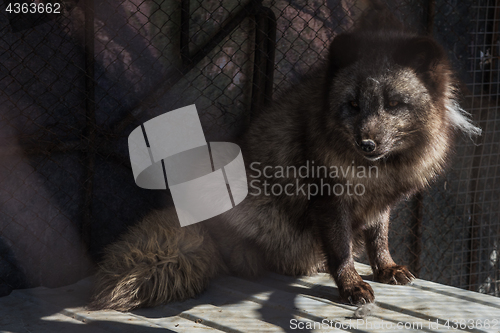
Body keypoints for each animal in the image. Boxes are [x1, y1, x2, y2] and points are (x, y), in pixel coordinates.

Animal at [89, 1, 480, 310]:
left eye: (395, 103)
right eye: (353, 105)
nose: (366, 144)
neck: (378, 171)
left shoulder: (379, 202)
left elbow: (377, 237)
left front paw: (385, 268)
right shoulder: (328, 197)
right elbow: (340, 247)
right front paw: (350, 284)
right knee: (233, 247)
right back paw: (259, 258)